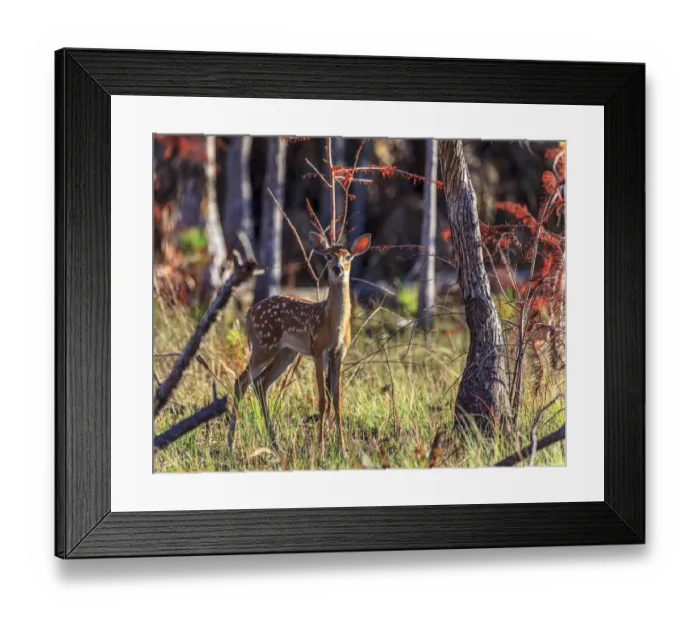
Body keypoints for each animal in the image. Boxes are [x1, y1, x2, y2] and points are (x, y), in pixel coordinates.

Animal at [230, 231, 372, 456]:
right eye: (328, 256)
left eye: (348, 256)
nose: (337, 269)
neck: (333, 325)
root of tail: (248, 314)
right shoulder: (317, 350)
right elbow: (323, 400)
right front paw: (321, 448)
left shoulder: (340, 353)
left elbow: (337, 400)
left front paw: (342, 449)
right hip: (263, 345)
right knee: (241, 382)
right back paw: (231, 444)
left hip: (286, 353)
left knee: (261, 383)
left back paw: (274, 443)